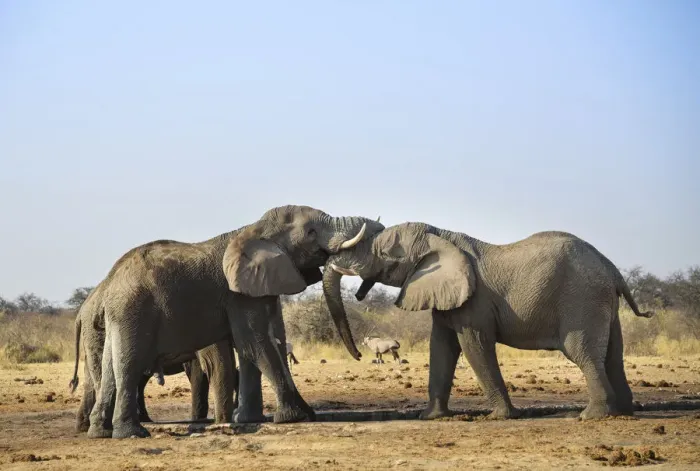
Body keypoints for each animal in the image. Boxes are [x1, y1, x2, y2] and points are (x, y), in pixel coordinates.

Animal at [79, 205, 383, 439]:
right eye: (310, 232)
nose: (359, 355)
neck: (256, 230)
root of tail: (109, 284)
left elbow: (257, 346)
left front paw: (249, 419)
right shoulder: (237, 295)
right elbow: (254, 343)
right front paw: (296, 417)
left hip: (120, 316)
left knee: (108, 368)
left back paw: (100, 433)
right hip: (134, 310)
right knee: (129, 364)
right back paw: (132, 434)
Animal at [322, 222, 654, 420]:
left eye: (384, 253)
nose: (360, 354)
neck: (439, 234)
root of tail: (612, 268)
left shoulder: (475, 302)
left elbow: (474, 346)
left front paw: (499, 417)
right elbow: (441, 348)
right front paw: (430, 417)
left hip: (582, 299)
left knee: (583, 353)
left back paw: (591, 416)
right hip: (603, 302)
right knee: (613, 356)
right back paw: (624, 411)